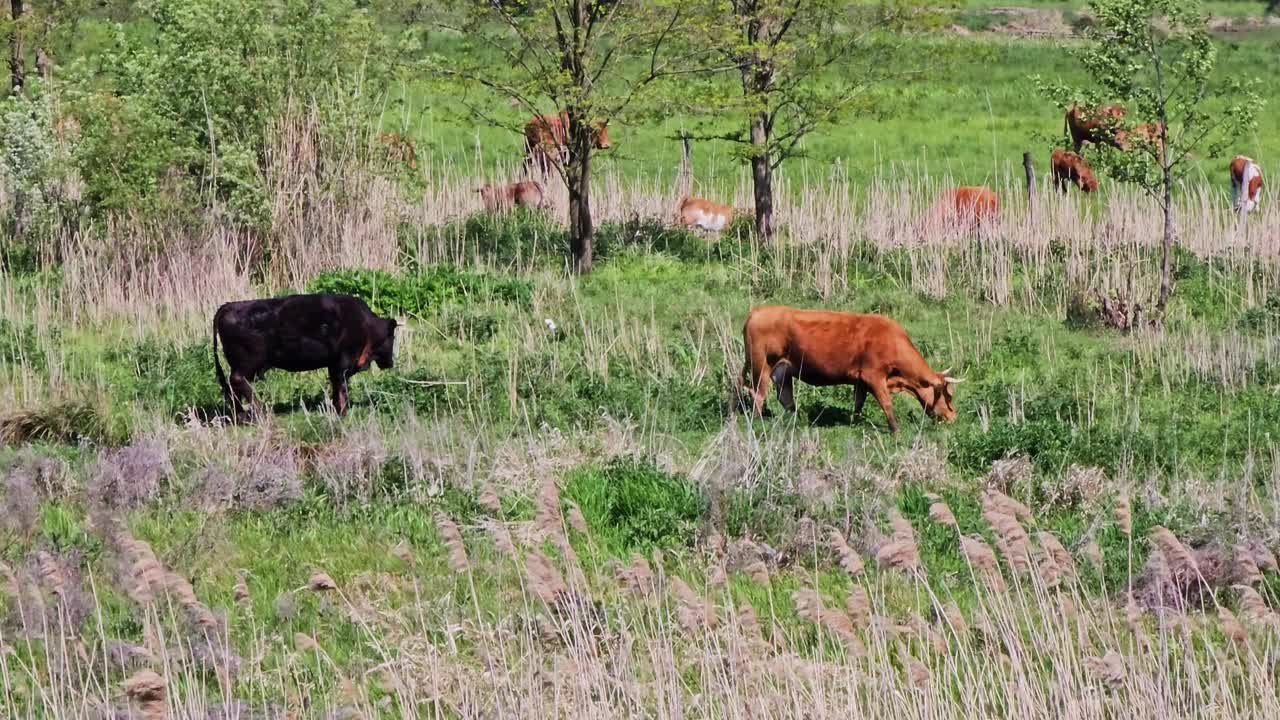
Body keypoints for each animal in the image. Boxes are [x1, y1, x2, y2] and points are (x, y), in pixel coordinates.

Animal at [212, 292, 396, 415]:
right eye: (392, 337)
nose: (391, 362)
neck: (365, 323)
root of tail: (228, 306)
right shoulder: (343, 362)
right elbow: (341, 387)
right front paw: (342, 411)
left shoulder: (333, 365)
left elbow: (336, 387)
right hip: (249, 363)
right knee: (237, 380)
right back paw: (260, 410)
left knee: (232, 386)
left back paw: (240, 414)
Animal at [742, 303, 962, 430]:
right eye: (948, 396)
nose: (954, 417)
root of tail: (757, 311)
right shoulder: (874, 377)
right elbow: (886, 403)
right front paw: (895, 429)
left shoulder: (860, 380)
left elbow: (858, 403)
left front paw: (854, 422)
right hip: (761, 364)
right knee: (758, 393)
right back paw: (757, 421)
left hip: (781, 369)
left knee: (784, 397)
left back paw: (796, 418)